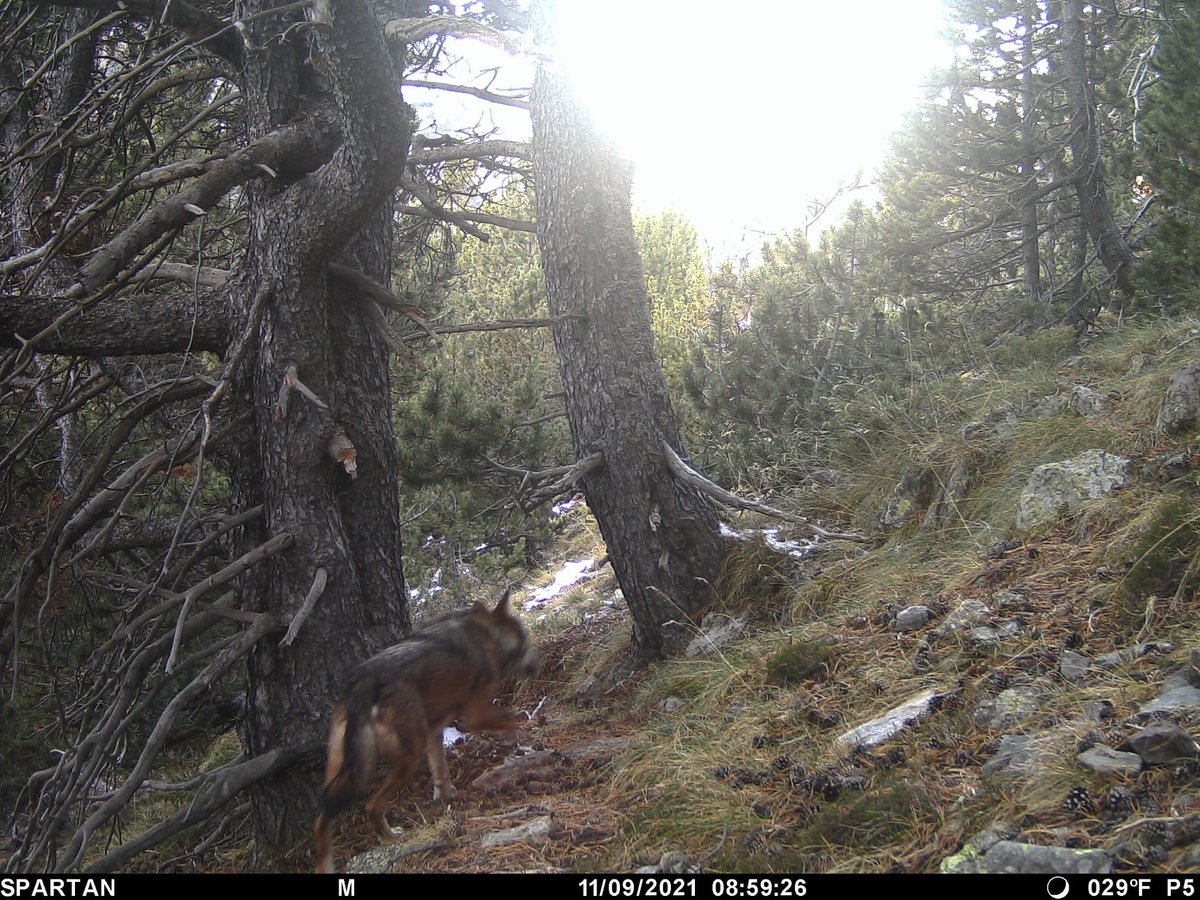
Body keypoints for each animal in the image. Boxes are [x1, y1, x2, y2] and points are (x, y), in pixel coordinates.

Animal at [312, 592, 537, 873]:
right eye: (526, 641)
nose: (537, 666)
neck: (486, 635)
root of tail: (364, 681)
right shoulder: (474, 716)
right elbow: (511, 718)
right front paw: (520, 740)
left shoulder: (434, 730)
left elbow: (440, 770)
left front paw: (446, 796)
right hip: (406, 759)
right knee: (371, 807)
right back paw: (392, 838)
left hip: (344, 766)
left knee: (322, 816)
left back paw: (325, 865)